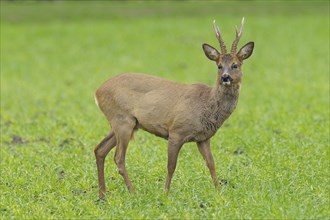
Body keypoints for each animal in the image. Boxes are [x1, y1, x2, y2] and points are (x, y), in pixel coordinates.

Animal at [94, 17, 254, 199]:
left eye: (235, 65)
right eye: (219, 65)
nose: (225, 77)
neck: (206, 104)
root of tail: (97, 92)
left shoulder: (203, 138)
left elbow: (211, 163)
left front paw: (219, 191)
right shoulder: (176, 131)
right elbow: (171, 165)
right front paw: (165, 192)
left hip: (123, 123)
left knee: (100, 149)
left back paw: (102, 194)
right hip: (122, 120)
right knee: (118, 157)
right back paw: (132, 192)